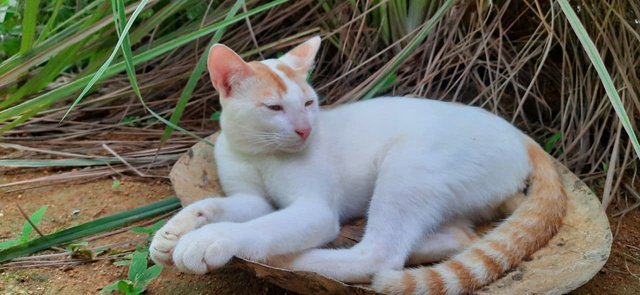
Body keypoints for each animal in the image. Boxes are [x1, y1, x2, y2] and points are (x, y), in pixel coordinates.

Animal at [149, 35, 564, 294]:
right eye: (274, 108)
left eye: (309, 103)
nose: (304, 130)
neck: (259, 152)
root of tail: (520, 135)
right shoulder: (251, 198)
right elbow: (215, 205)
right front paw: (174, 231)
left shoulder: (314, 209)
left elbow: (259, 226)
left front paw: (209, 239)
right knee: (462, 237)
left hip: (409, 165)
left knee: (380, 256)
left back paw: (294, 258)